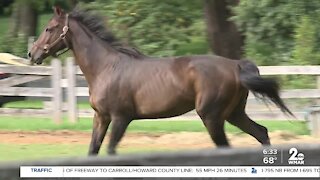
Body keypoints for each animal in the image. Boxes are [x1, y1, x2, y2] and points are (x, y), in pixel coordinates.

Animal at [28, 7, 294, 155]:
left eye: (50, 28)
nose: (32, 53)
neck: (106, 67)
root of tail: (236, 65)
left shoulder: (121, 118)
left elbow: (111, 150)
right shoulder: (101, 117)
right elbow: (93, 150)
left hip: (212, 117)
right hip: (233, 113)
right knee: (261, 133)